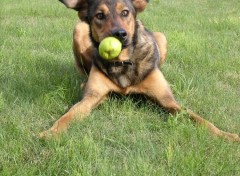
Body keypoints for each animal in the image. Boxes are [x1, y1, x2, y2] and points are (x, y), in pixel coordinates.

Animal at [39, 0, 238, 142]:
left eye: (125, 12)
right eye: (99, 15)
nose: (120, 34)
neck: (122, 61)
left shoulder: (168, 101)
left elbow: (199, 119)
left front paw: (227, 135)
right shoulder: (92, 97)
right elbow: (68, 115)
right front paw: (50, 132)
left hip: (162, 37)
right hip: (79, 29)